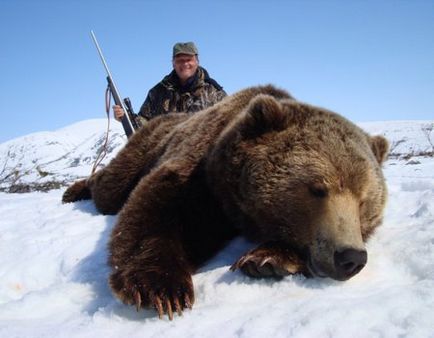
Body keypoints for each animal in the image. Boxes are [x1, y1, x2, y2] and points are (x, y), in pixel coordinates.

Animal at [62, 84, 388, 320]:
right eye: (318, 189)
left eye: (363, 201)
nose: (350, 257)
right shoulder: (200, 173)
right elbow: (158, 208)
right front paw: (162, 288)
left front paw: (268, 259)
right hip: (146, 146)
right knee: (111, 188)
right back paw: (76, 190)